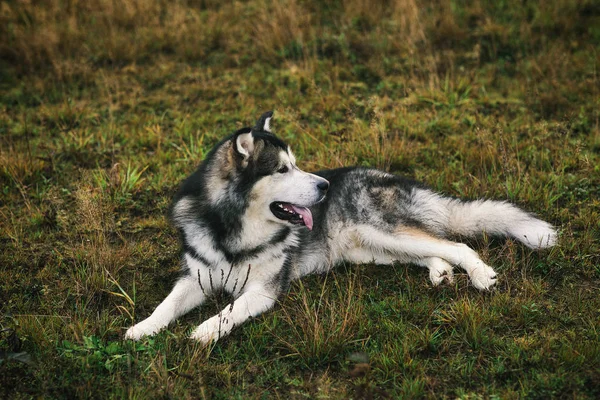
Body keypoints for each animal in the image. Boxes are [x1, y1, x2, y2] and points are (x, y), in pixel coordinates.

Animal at [123, 111, 556, 342]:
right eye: (282, 169)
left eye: (296, 163)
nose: (324, 186)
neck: (233, 230)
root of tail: (386, 174)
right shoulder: (195, 278)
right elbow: (166, 305)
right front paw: (141, 329)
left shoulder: (262, 290)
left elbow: (231, 308)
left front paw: (205, 331)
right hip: (371, 250)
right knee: (432, 249)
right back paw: (440, 273)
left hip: (381, 231)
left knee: (456, 244)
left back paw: (480, 275)